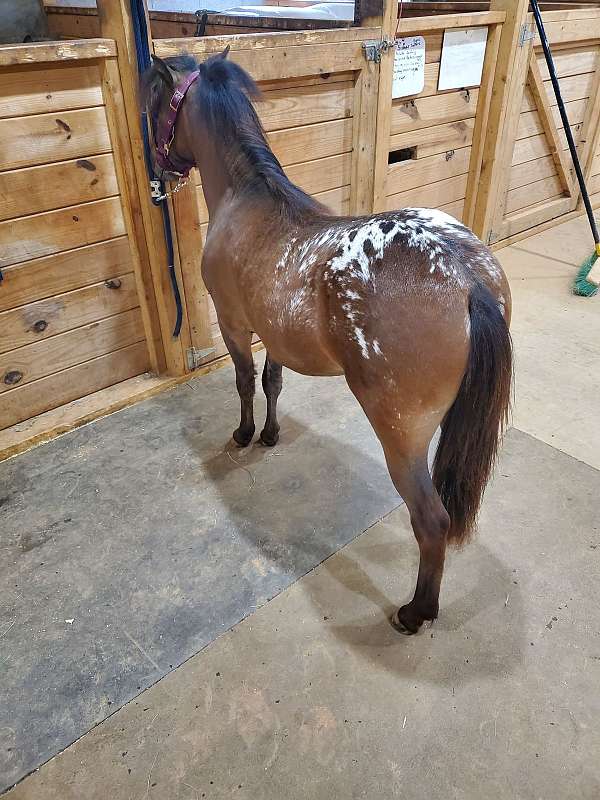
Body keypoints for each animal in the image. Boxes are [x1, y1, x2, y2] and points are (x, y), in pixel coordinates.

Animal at [142, 50, 513, 635]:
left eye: (157, 107)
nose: (156, 172)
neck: (248, 197)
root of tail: (467, 279)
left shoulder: (234, 324)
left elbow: (244, 381)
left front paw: (244, 434)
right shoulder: (273, 335)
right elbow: (272, 382)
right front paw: (270, 435)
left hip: (401, 437)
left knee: (431, 521)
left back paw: (415, 612)